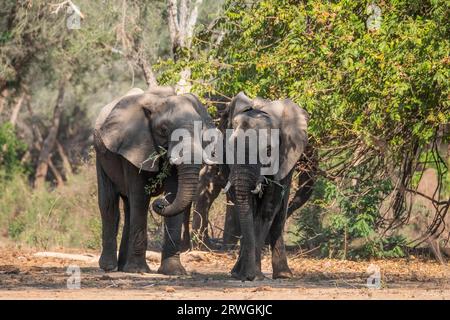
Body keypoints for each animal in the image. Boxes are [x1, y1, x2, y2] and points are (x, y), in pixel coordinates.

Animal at [93, 85, 214, 276]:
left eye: (201, 130)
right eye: (163, 130)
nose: (159, 203)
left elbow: (173, 193)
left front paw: (174, 272)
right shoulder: (134, 146)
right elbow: (140, 197)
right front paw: (138, 270)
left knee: (129, 207)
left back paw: (123, 266)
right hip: (101, 155)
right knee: (110, 204)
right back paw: (110, 267)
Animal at [222, 90, 310, 280]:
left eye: (268, 151)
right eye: (231, 147)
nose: (246, 278)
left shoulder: (284, 156)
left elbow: (267, 209)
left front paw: (254, 275)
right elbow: (249, 207)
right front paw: (245, 274)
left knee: (280, 211)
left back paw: (284, 275)